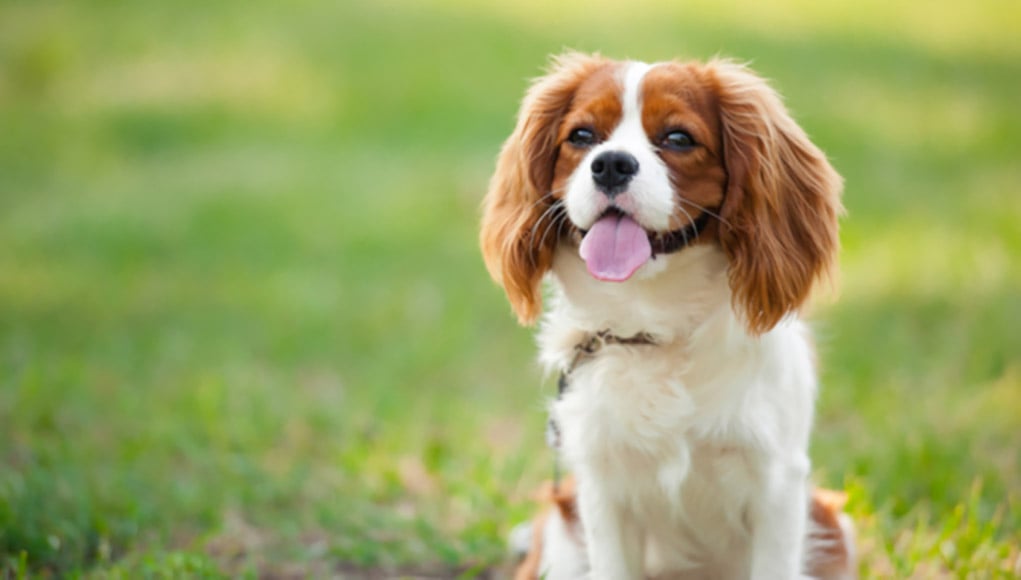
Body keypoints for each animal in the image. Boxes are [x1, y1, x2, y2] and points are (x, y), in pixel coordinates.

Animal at [481, 52, 849, 575]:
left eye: (678, 139)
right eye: (582, 136)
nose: (611, 164)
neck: (652, 326)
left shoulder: (778, 486)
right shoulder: (601, 489)